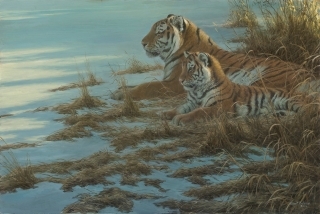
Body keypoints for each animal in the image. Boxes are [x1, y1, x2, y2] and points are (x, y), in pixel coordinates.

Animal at [110, 13, 318, 100]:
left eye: (159, 32)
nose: (142, 43)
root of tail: (310, 74)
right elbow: (137, 84)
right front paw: (119, 90)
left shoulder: (174, 84)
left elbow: (147, 86)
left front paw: (123, 94)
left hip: (264, 79)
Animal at [162, 51, 316, 125]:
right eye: (182, 67)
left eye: (190, 68)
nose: (180, 80)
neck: (197, 90)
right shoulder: (191, 102)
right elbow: (180, 107)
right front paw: (168, 113)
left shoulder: (220, 106)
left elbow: (198, 112)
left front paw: (180, 119)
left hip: (291, 101)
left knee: (309, 110)